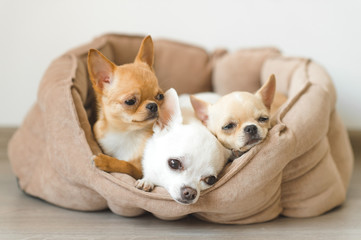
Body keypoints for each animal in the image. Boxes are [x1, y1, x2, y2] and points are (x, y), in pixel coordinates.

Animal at [88, 35, 164, 178]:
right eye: (130, 101)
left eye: (160, 96)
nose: (153, 106)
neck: (126, 132)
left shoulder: (139, 171)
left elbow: (126, 165)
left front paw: (105, 161)